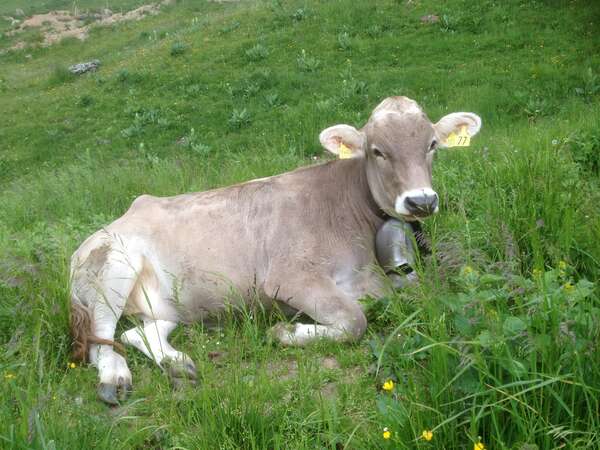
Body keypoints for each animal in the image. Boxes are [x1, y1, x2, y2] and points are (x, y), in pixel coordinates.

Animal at [69, 96, 481, 404]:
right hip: (111, 270)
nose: (421, 201)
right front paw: (286, 332)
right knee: (99, 341)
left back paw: (178, 364)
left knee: (136, 334)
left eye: (431, 145)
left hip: (172, 303)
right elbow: (354, 320)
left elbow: (399, 297)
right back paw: (114, 379)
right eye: (377, 151)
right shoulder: (290, 276)